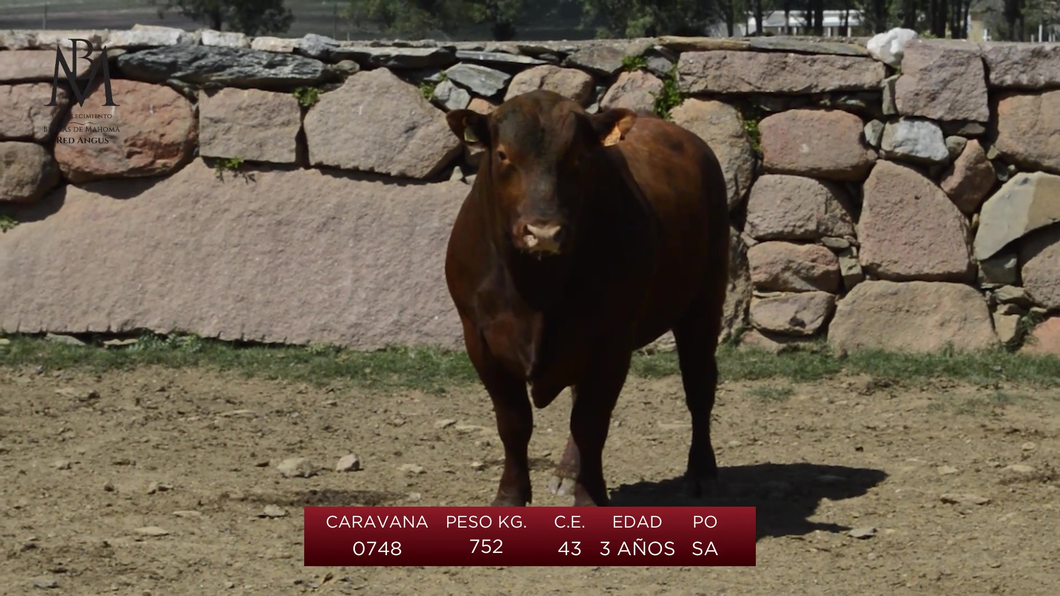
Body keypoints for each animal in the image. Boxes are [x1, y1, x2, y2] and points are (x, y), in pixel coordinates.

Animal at [440, 89, 729, 504]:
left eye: (578, 157)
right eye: (503, 155)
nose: (543, 232)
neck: (535, 290)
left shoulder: (612, 340)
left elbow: (591, 423)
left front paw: (590, 496)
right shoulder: (479, 338)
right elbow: (514, 422)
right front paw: (510, 495)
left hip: (705, 299)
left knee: (699, 383)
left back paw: (702, 472)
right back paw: (566, 471)